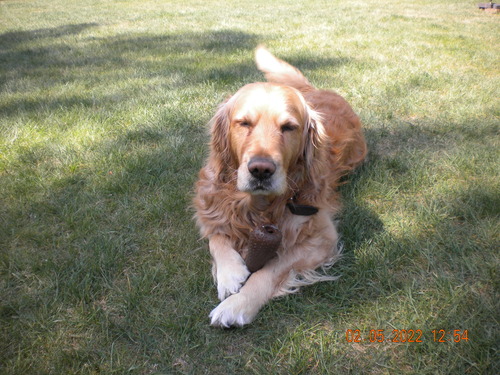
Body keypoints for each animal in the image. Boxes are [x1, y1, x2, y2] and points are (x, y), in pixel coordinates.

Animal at [193, 47, 366, 328]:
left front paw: (237, 304)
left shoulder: (321, 237)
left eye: (289, 127)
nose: (261, 170)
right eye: (244, 123)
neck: (260, 206)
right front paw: (230, 274)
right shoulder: (210, 205)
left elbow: (270, 271)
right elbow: (216, 237)